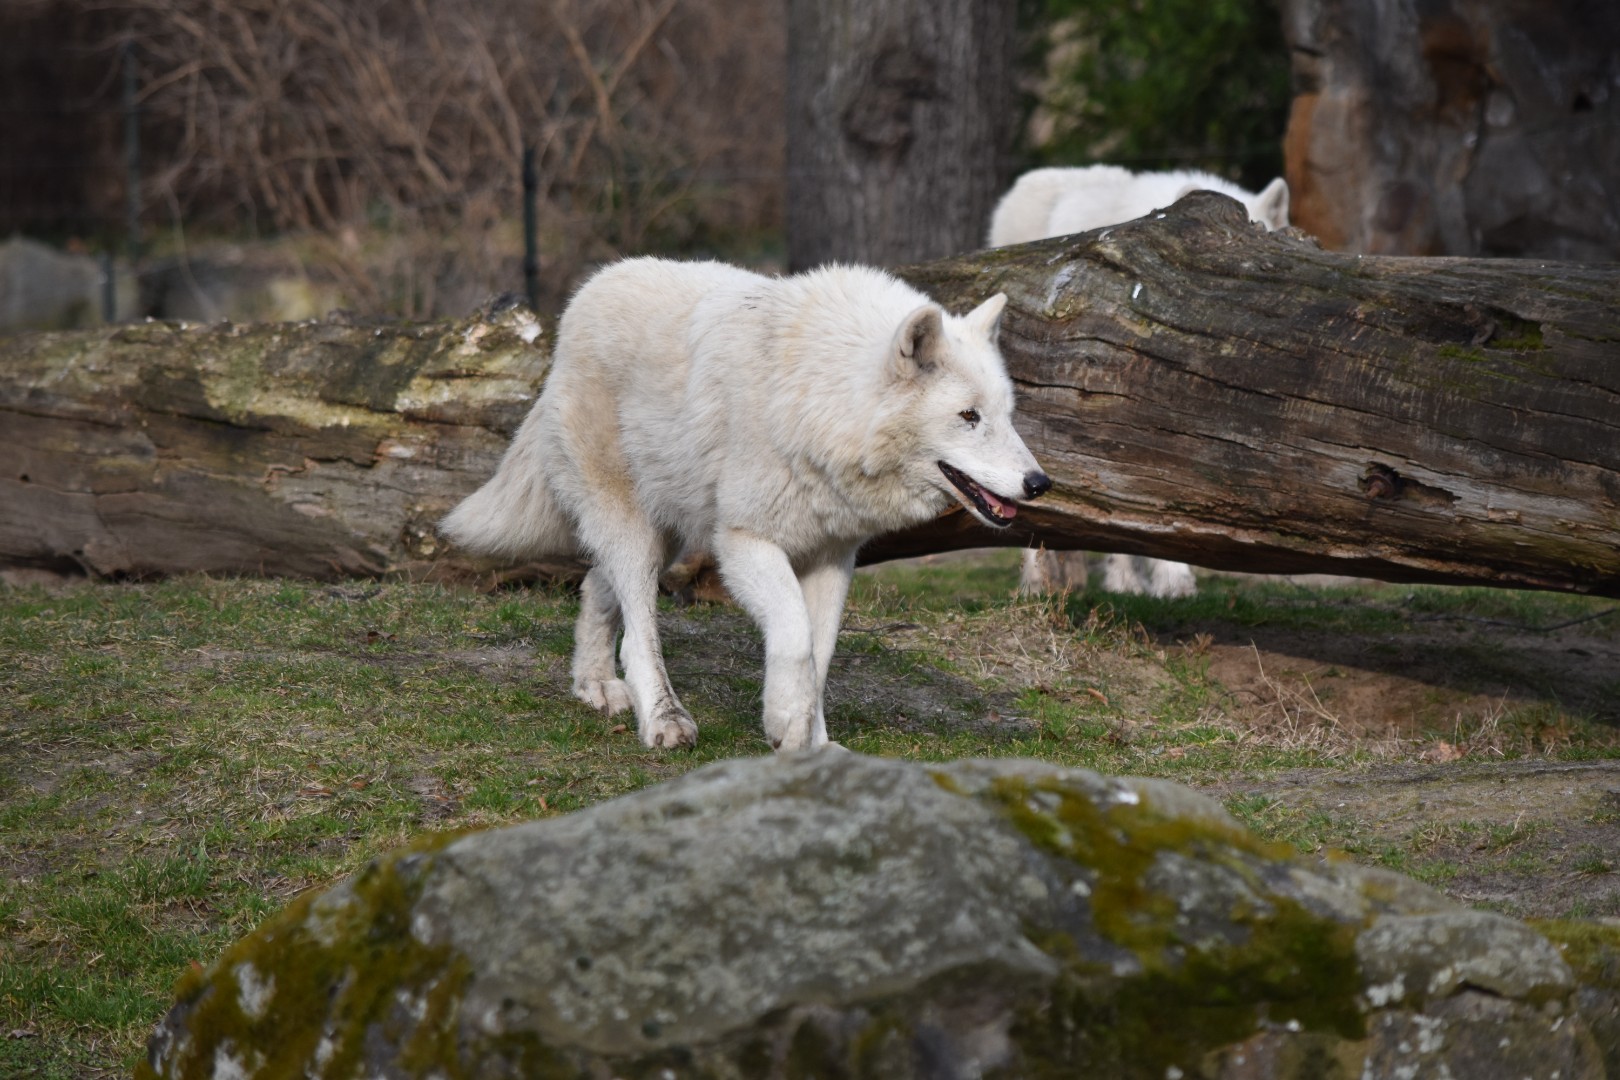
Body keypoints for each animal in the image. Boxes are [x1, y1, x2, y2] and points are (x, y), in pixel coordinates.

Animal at [443, 257, 1050, 752]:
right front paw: (784, 722)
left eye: (1007, 414)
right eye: (969, 416)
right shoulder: (744, 542)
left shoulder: (832, 556)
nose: (1039, 482)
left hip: (670, 533)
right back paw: (664, 719)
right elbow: (796, 638)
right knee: (638, 631)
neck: (823, 400)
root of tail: (580, 301)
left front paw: (812, 744)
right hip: (637, 528)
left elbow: (820, 655)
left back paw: (593, 684)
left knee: (596, 585)